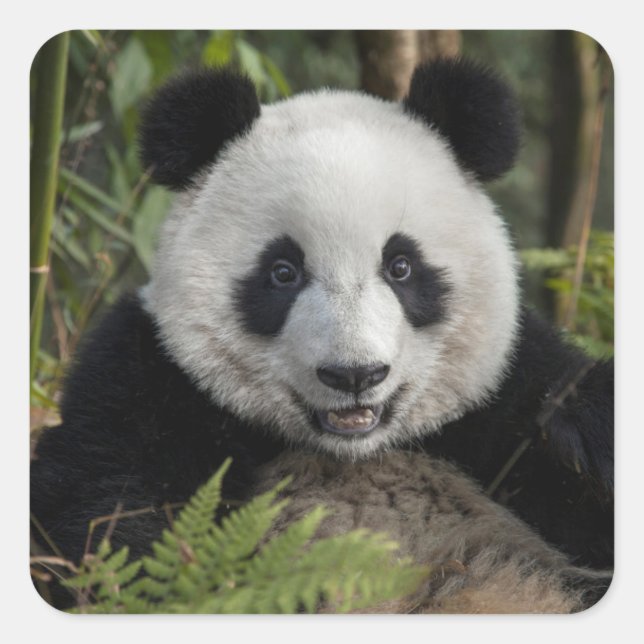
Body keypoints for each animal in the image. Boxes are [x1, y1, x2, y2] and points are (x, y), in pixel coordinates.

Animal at [30, 59, 614, 612]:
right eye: (283, 272)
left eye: (401, 266)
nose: (355, 375)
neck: (354, 450)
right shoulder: (148, 379)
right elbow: (109, 518)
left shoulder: (500, 392)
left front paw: (576, 436)